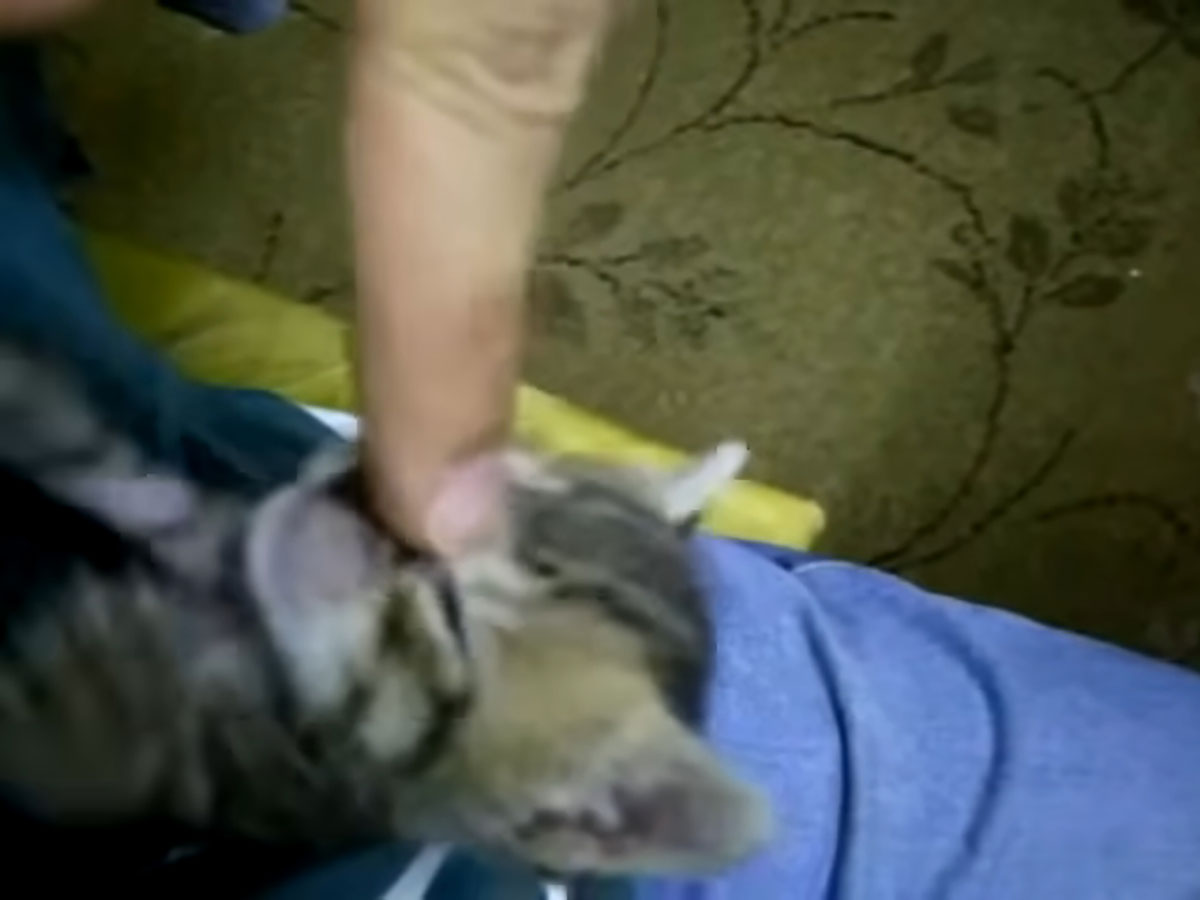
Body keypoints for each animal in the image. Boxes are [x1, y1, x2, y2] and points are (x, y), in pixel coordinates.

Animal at [0, 340, 769, 879]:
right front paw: (30, 403)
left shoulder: (242, 783)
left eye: (452, 618)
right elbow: (130, 476)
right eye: (483, 480)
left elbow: (99, 747)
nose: (352, 483)